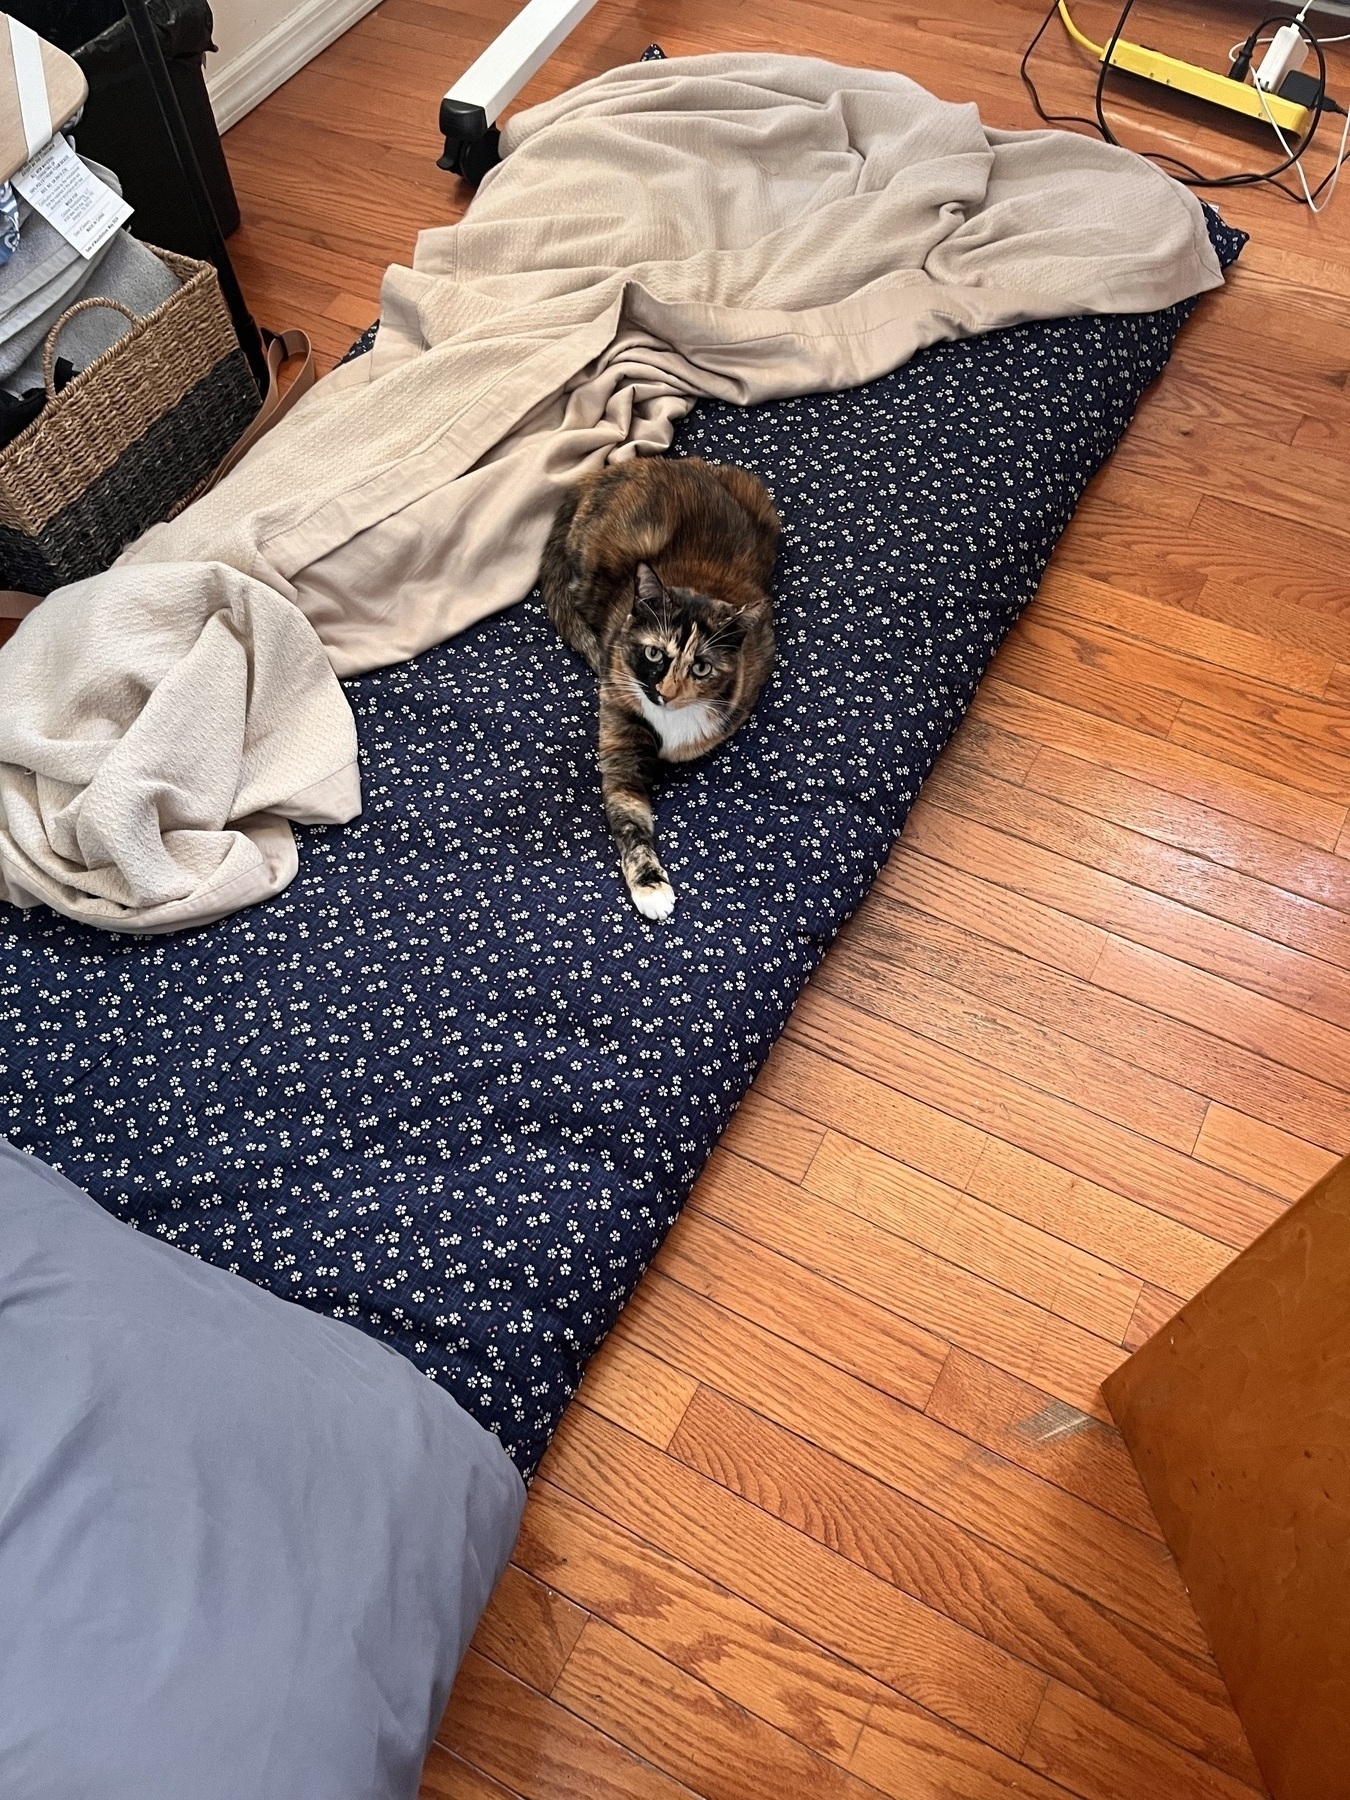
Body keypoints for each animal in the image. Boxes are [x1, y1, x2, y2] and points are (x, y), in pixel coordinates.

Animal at [543, 457, 781, 921]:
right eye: (655, 654)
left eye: (702, 666)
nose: (666, 693)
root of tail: (617, 466)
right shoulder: (619, 744)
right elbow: (630, 822)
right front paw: (650, 886)